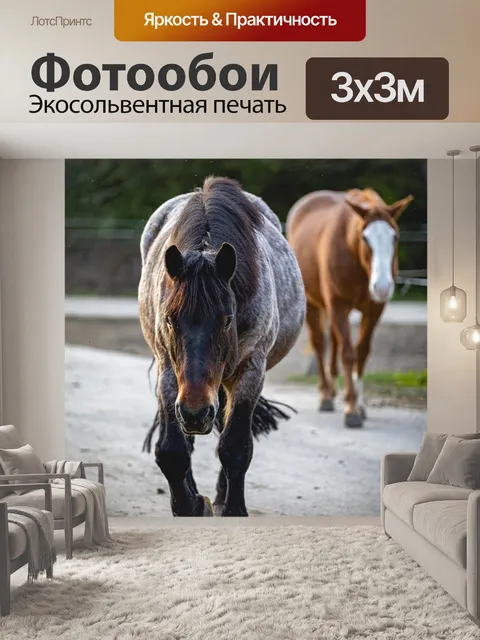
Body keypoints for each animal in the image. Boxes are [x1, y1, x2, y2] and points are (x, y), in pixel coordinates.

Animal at [138, 176, 306, 516]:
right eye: (170, 319)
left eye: (227, 319)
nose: (195, 412)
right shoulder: (169, 370)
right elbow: (172, 450)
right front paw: (188, 505)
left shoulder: (251, 370)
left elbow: (235, 448)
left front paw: (232, 509)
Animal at [286, 188, 413, 428]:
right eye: (365, 238)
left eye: (395, 237)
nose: (382, 286)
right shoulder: (338, 305)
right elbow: (347, 353)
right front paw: (351, 409)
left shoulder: (374, 309)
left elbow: (361, 352)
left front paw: (359, 404)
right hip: (315, 306)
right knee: (320, 344)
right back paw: (326, 395)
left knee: (334, 341)